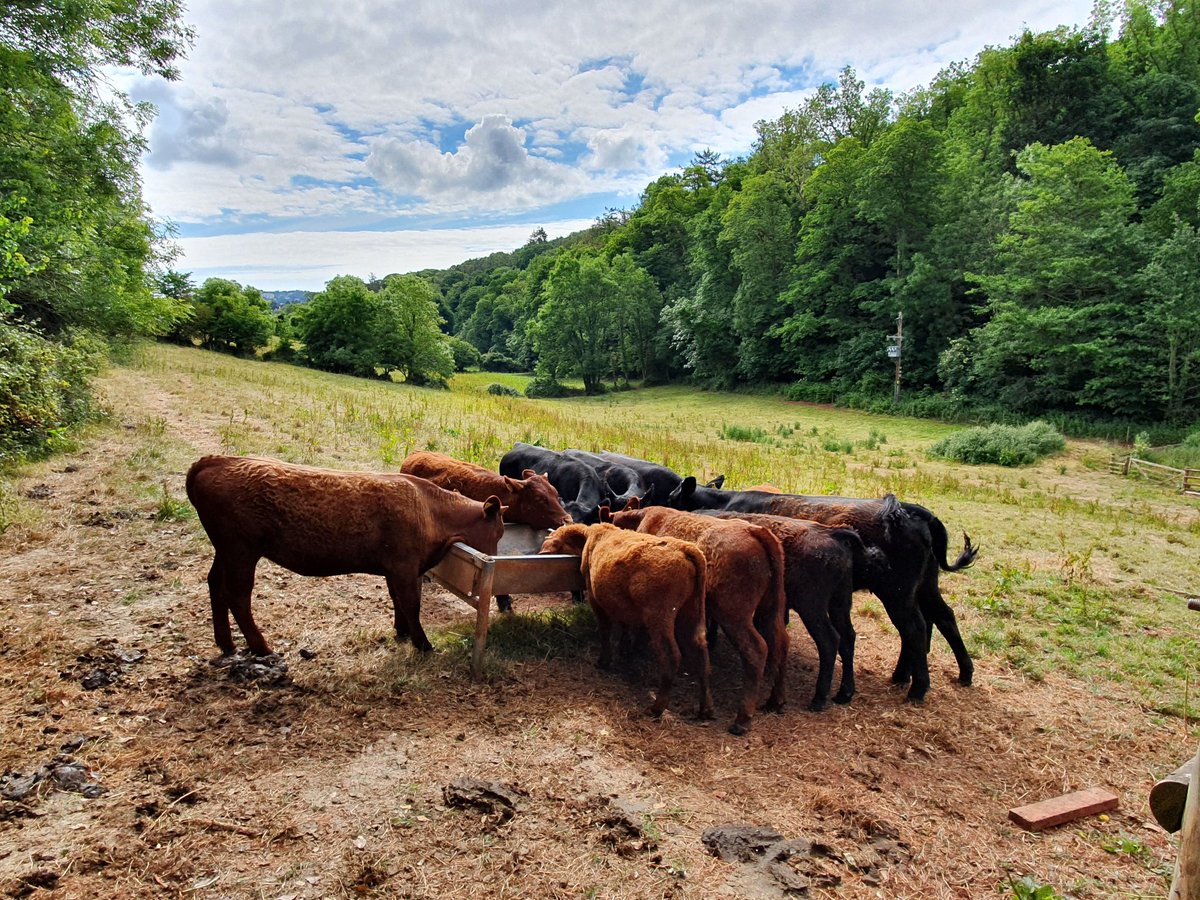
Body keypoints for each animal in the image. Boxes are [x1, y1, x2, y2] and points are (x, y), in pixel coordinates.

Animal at [187, 458, 506, 657]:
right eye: (499, 533)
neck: (431, 510)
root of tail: (215, 460)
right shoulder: (404, 567)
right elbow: (411, 604)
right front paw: (422, 643)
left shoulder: (396, 570)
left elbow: (398, 601)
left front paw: (402, 632)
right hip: (241, 551)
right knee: (237, 595)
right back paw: (261, 647)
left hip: (225, 551)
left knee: (215, 585)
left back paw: (226, 643)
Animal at [542, 525, 710, 724]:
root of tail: (685, 548)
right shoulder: (622, 606)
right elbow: (625, 627)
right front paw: (624, 652)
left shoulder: (596, 600)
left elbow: (605, 629)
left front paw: (604, 661)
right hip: (692, 611)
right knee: (701, 653)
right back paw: (705, 709)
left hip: (660, 615)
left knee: (671, 655)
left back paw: (656, 708)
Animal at [609, 504, 787, 734]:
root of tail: (755, 531)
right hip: (769, 611)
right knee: (781, 643)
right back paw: (776, 700)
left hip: (733, 614)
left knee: (756, 650)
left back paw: (742, 719)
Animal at [667, 482, 974, 710]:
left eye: (670, 496)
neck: (726, 502)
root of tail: (915, 512)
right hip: (923, 586)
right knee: (940, 618)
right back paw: (951, 674)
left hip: (894, 592)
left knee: (913, 628)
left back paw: (916, 687)